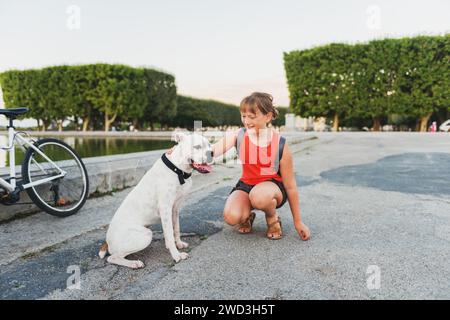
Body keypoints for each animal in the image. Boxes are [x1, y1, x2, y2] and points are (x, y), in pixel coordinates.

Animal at [98, 131, 213, 268]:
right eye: (197, 147)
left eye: (209, 145)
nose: (212, 153)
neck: (178, 170)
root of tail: (107, 241)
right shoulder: (165, 209)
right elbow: (169, 234)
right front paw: (176, 255)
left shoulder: (175, 209)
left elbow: (176, 229)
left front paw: (178, 244)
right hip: (145, 235)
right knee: (113, 258)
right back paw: (134, 263)